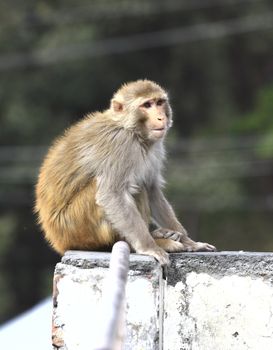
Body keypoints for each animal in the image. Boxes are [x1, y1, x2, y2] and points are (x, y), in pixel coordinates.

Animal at [35, 79, 215, 266]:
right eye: (147, 105)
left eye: (159, 102)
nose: (161, 117)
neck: (130, 129)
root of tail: (57, 241)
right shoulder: (119, 144)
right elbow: (112, 194)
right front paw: (149, 247)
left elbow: (152, 189)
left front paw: (191, 243)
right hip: (76, 226)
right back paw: (155, 241)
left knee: (141, 187)